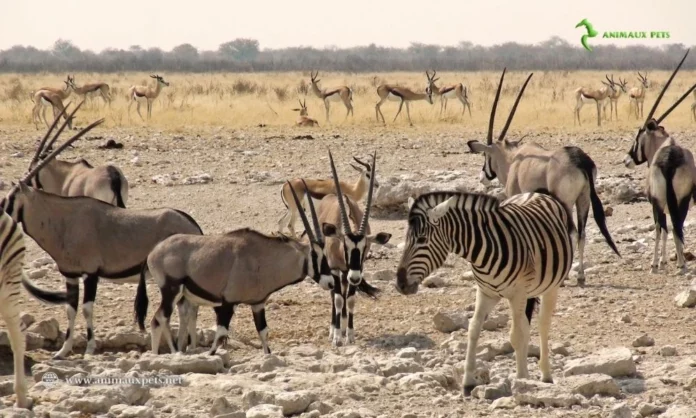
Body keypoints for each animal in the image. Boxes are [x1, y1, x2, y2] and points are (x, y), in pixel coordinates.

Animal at [142, 181, 334, 354]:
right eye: (315, 254)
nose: (331, 282)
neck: (262, 257)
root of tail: (153, 252)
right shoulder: (229, 302)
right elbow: (221, 333)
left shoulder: (257, 304)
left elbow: (263, 332)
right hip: (171, 290)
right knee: (158, 319)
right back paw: (163, 354)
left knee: (163, 320)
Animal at [468, 68, 620, 286]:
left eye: (485, 156)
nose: (483, 178)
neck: (514, 159)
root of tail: (580, 160)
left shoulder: (517, 196)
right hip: (583, 199)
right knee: (582, 234)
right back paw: (581, 276)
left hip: (566, 201)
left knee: (572, 232)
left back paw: (565, 276)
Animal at [624, 49, 692, 274]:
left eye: (638, 135)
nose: (627, 159)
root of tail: (670, 157)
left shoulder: (655, 201)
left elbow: (660, 228)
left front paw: (658, 262)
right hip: (681, 200)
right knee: (677, 224)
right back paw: (681, 262)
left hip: (663, 201)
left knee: (665, 225)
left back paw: (671, 263)